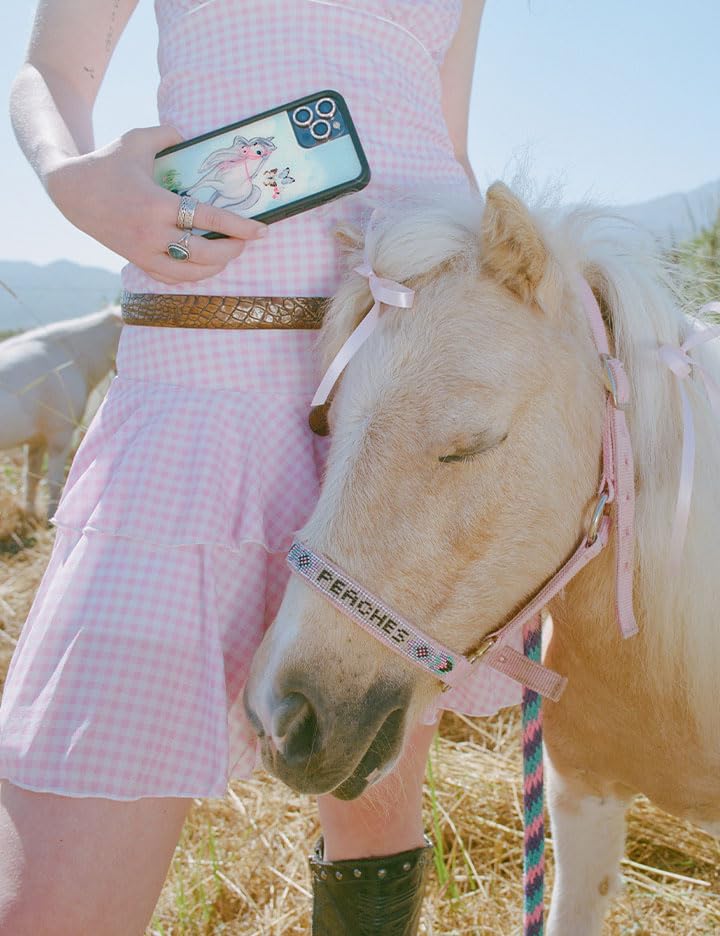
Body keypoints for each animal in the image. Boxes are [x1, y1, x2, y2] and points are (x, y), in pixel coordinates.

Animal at [0, 304, 123, 521]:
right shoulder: (60, 434)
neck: (72, 354)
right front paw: (51, 518)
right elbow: (54, 481)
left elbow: (32, 477)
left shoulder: (37, 439)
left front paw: (30, 514)